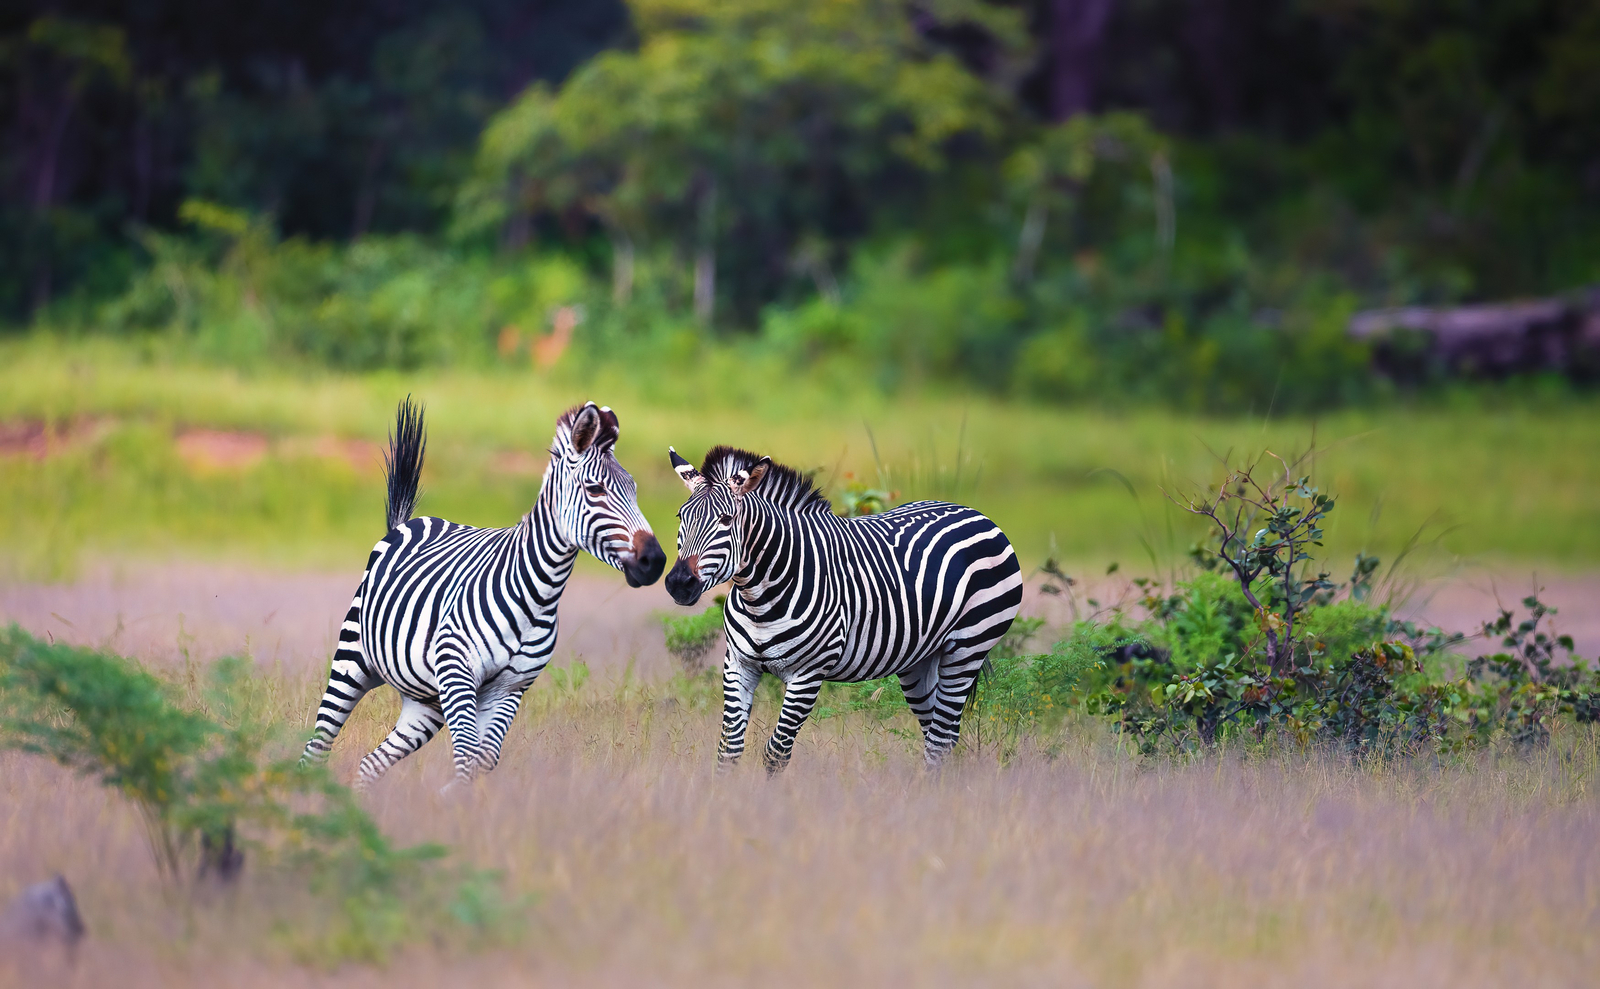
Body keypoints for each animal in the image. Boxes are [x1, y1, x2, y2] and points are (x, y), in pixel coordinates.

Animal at [301, 399, 665, 789]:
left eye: (634, 490)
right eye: (595, 490)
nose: (655, 561)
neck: (538, 594)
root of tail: (405, 523)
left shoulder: (510, 688)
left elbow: (484, 759)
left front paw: (453, 798)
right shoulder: (457, 670)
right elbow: (467, 758)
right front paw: (451, 802)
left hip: (425, 701)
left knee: (371, 762)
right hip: (352, 660)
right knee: (317, 748)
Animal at [663, 445, 1023, 773]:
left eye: (726, 520)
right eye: (681, 517)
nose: (679, 583)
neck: (759, 596)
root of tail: (973, 512)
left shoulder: (808, 674)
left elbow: (776, 753)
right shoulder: (738, 665)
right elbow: (728, 749)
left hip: (968, 648)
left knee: (939, 739)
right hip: (920, 660)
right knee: (941, 736)